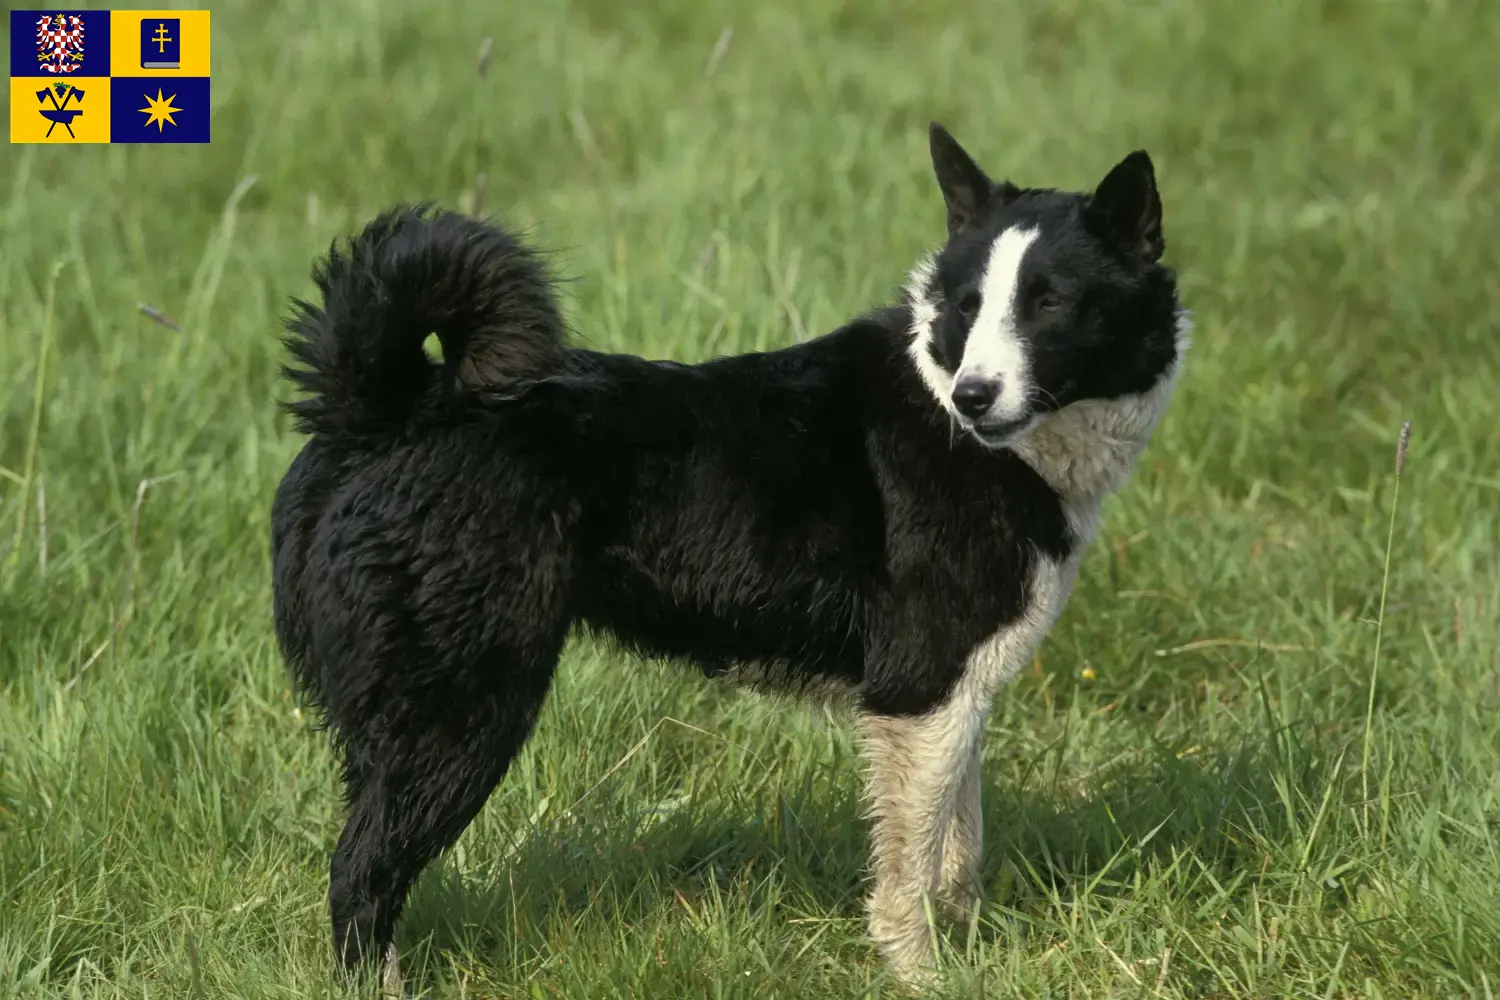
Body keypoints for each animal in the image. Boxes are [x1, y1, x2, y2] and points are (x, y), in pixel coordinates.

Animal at [270, 119, 1182, 983]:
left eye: (1048, 304)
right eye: (967, 305)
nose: (974, 396)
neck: (952, 403)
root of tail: (384, 410)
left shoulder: (958, 696)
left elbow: (957, 847)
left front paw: (969, 949)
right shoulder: (919, 689)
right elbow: (912, 868)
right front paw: (924, 975)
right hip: (461, 708)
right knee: (361, 873)